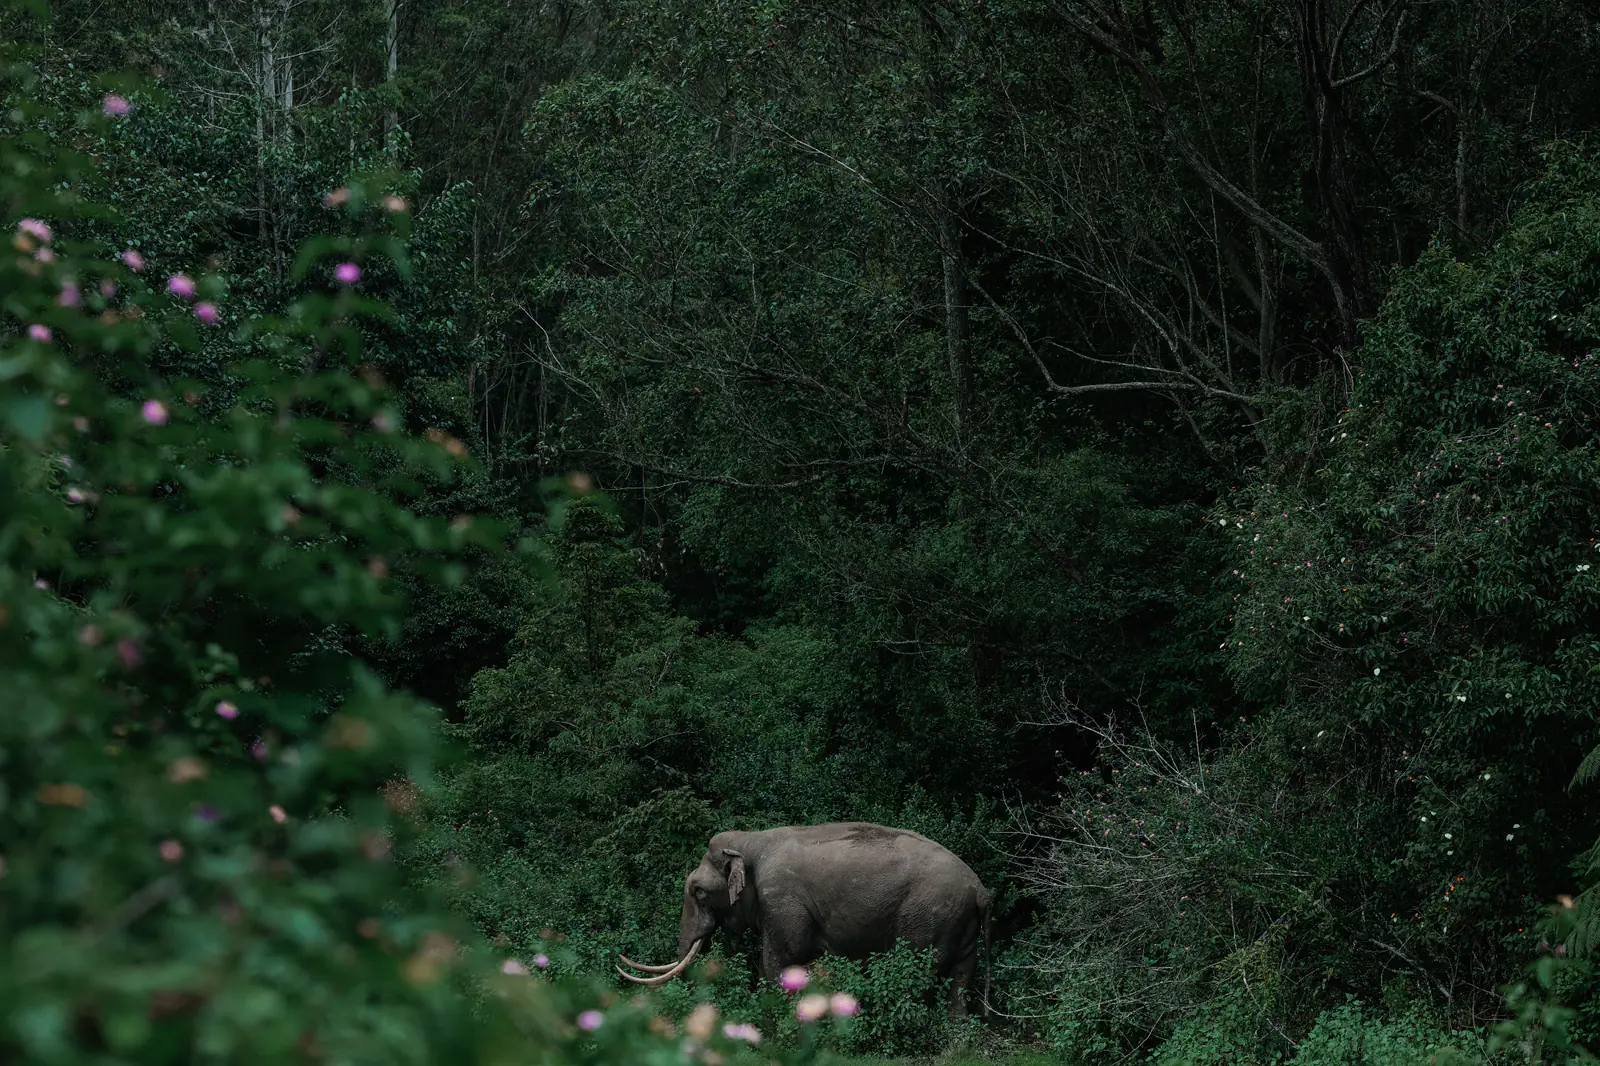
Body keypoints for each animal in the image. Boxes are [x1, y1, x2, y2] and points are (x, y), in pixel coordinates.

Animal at [616, 822, 991, 1017]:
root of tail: (980, 889)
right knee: (961, 977)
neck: (751, 840)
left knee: (921, 971)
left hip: (930, 915)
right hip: (961, 924)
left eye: (698, 891)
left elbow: (780, 961)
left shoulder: (781, 901)